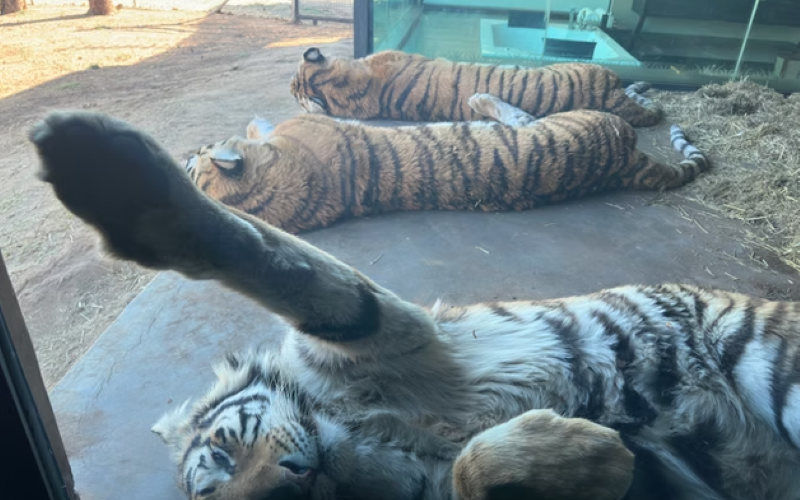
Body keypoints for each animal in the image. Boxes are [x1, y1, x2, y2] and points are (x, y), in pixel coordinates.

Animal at [31, 108, 800, 500]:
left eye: (222, 449)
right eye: (216, 496)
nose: (291, 485)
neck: (354, 440)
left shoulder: (386, 329)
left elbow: (267, 257)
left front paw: (119, 185)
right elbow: (468, 469)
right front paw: (592, 454)